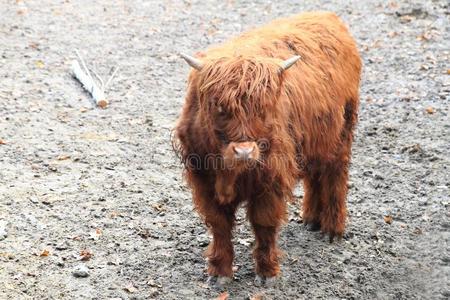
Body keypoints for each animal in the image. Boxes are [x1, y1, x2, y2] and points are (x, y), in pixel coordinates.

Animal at [174, 11, 360, 286]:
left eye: (263, 109)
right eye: (220, 107)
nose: (244, 152)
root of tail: (325, 15)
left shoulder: (270, 179)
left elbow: (264, 223)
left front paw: (267, 272)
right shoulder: (204, 180)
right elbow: (219, 224)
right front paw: (220, 272)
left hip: (342, 132)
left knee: (335, 174)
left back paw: (332, 229)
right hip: (313, 141)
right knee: (315, 175)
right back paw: (311, 220)